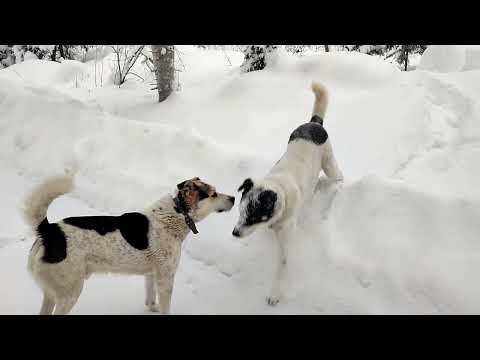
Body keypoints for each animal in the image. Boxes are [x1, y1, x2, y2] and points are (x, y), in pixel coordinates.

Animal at [25, 175, 235, 316]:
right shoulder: (166, 277)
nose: (234, 198)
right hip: (70, 293)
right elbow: (165, 307)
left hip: (52, 294)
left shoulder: (152, 274)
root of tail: (49, 230)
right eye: (214, 194)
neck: (178, 212)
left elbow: (150, 300)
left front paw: (152, 309)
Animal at [233, 82, 344, 306]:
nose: (235, 233)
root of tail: (314, 123)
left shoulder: (285, 241)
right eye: (240, 213)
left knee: (338, 177)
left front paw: (276, 293)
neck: (279, 188)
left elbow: (283, 266)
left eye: (253, 217)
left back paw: (324, 184)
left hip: (330, 165)